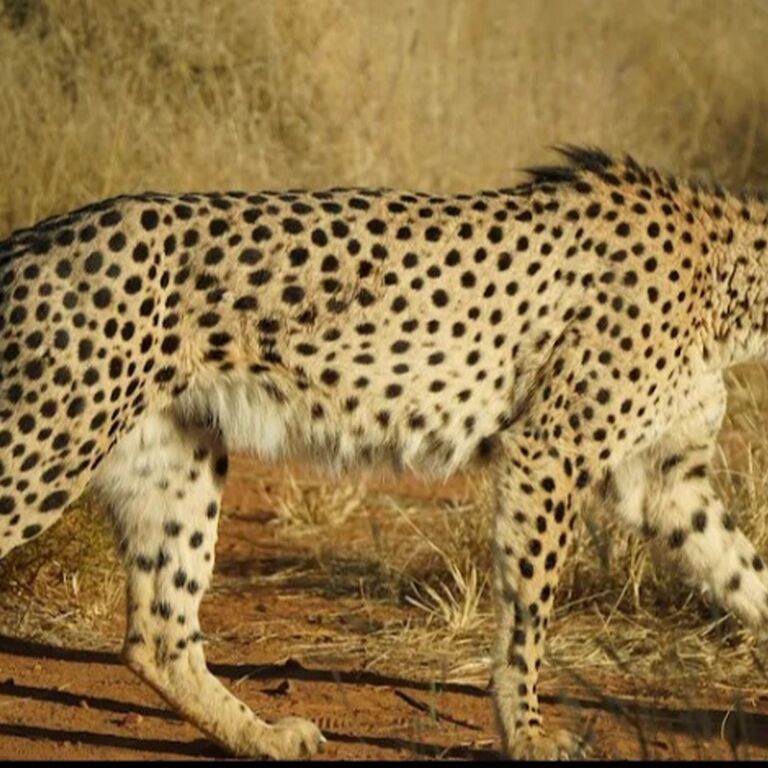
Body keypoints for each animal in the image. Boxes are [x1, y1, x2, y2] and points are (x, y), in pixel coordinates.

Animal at [2, 145, 768, 759]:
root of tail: (34, 235)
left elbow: (745, 571)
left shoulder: (665, 480)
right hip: (45, 447)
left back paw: (264, 737)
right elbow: (528, 614)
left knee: (159, 636)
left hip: (172, 457)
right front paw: (525, 734)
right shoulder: (549, 451)